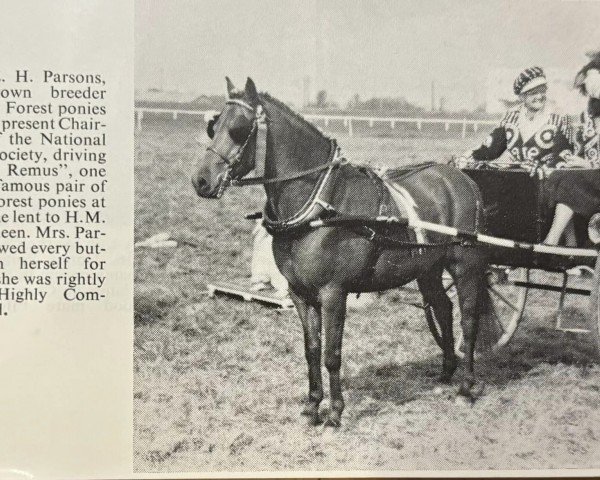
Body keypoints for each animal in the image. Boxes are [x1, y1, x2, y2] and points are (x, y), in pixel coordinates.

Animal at [193, 79, 496, 428]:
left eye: (239, 129)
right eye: (213, 126)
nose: (201, 180)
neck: (321, 205)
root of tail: (463, 179)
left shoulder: (333, 293)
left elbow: (331, 354)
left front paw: (335, 412)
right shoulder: (300, 294)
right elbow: (312, 350)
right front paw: (313, 406)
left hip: (464, 266)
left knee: (468, 320)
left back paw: (466, 386)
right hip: (428, 267)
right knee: (444, 309)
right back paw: (446, 373)